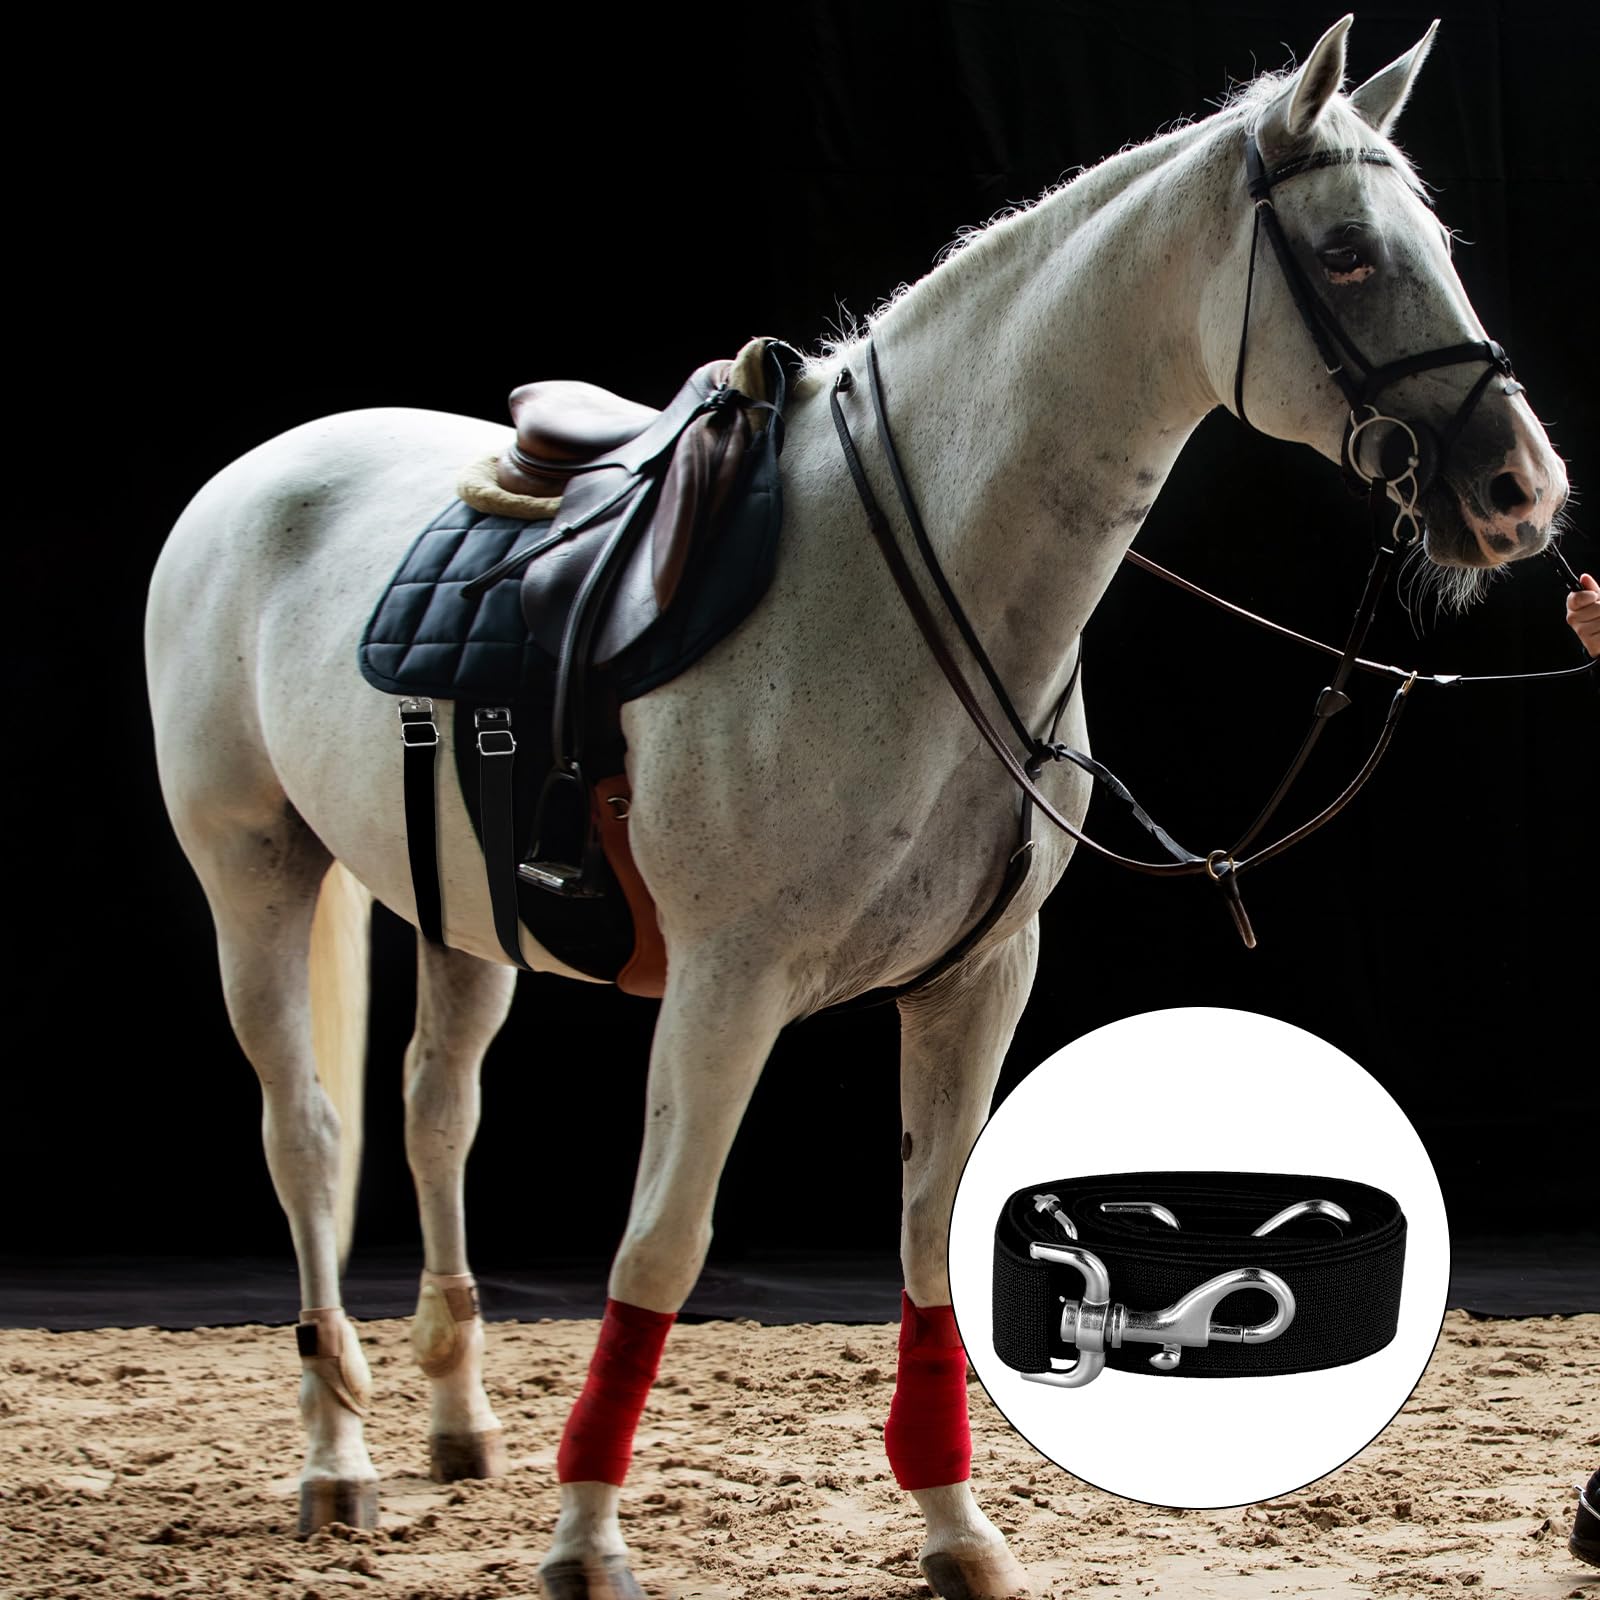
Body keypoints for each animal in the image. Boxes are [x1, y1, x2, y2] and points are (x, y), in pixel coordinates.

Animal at [144, 17, 1567, 1598]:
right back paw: (336, 1458)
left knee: (433, 1114)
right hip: (252, 874)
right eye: (1347, 255)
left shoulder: (974, 982)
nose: (1521, 490)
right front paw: (587, 1538)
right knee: (309, 1135)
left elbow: (935, 1243)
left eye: (1433, 242)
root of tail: (260, 475)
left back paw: (457, 1423)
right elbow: (659, 1248)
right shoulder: (726, 988)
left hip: (461, 918)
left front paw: (955, 1528)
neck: (898, 582)